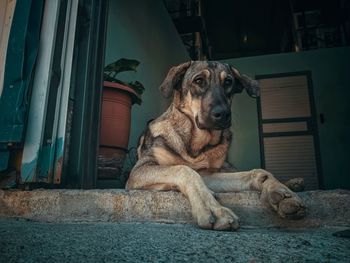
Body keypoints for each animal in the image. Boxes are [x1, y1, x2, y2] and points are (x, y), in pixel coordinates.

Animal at [126, 62, 306, 231]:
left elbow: (257, 173)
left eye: (228, 82)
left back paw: (289, 187)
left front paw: (281, 190)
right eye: (198, 80)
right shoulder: (140, 171)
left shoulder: (207, 173)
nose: (224, 114)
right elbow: (185, 170)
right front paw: (214, 210)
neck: (194, 145)